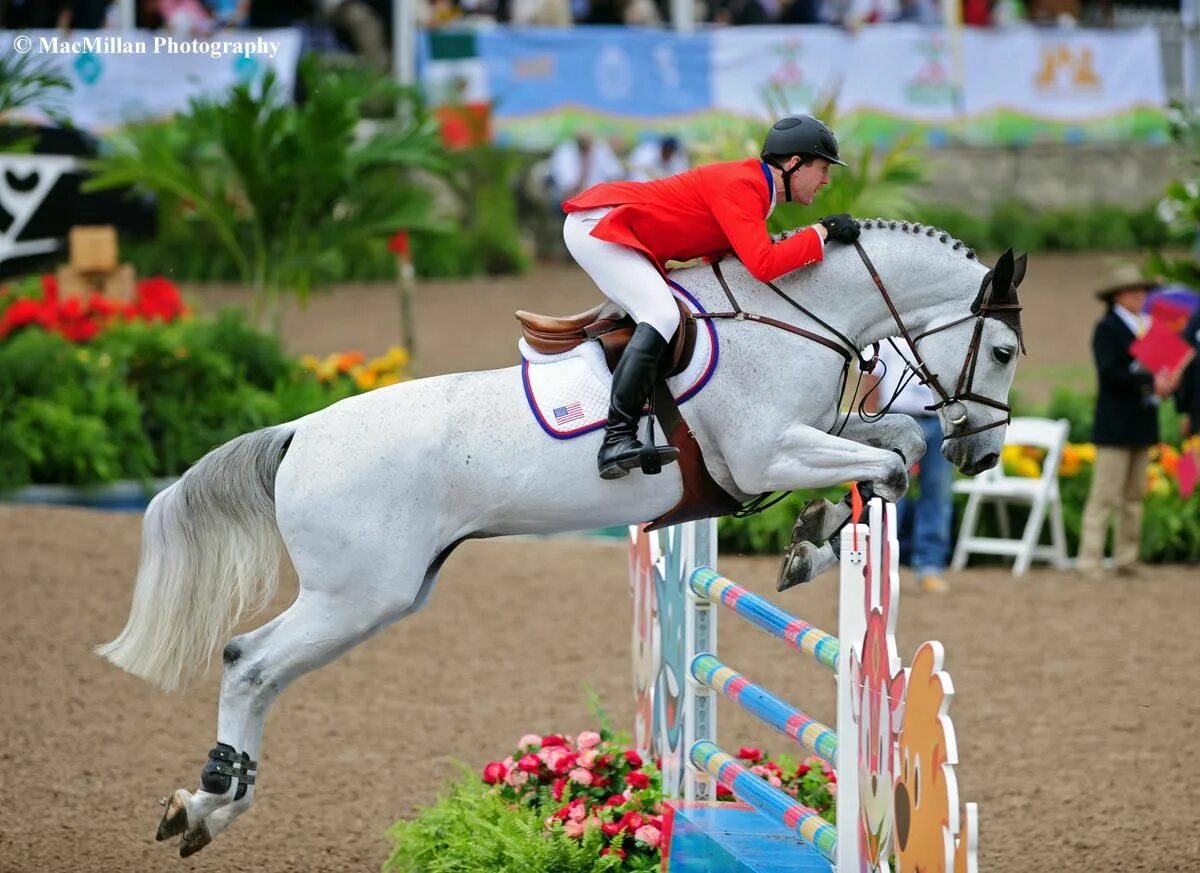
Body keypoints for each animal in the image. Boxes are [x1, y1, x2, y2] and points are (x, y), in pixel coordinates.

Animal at [98, 221, 1027, 853]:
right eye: (1006, 350)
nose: (981, 454)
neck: (794, 317)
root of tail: (298, 432)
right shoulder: (766, 452)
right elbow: (892, 458)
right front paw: (819, 530)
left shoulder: (806, 436)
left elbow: (893, 445)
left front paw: (815, 537)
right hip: (358, 596)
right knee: (248, 662)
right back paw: (211, 800)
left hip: (380, 592)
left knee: (255, 666)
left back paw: (204, 806)